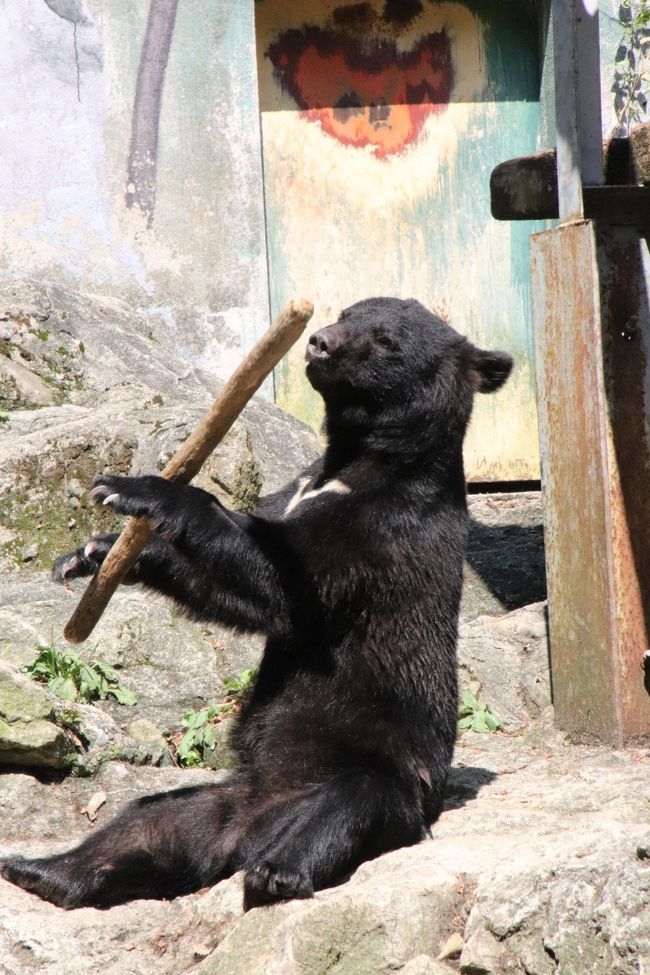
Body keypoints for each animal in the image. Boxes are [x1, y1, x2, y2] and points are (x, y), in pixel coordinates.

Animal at [1, 296, 512, 908]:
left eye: (386, 340)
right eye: (349, 312)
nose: (319, 341)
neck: (356, 463)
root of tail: (249, 832)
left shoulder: (381, 529)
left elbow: (283, 586)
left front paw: (136, 488)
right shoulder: (297, 489)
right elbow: (240, 584)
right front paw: (92, 554)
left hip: (388, 772)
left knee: (349, 803)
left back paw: (278, 871)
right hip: (218, 800)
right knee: (146, 820)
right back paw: (41, 868)